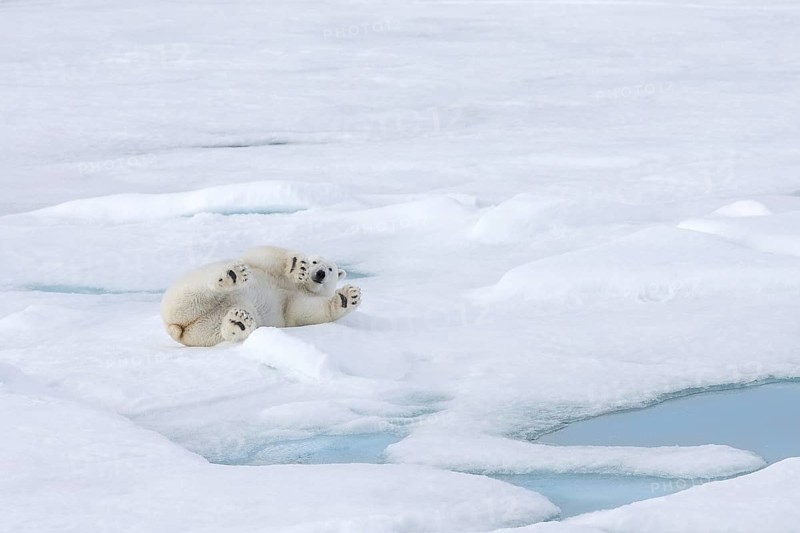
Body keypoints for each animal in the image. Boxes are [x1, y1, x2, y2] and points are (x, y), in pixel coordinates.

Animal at [161, 245, 362, 347]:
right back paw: (232, 276)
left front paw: (347, 297)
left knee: (219, 326)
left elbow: (306, 312)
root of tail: (176, 326)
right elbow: (262, 254)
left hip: (203, 331)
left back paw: (237, 322)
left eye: (330, 269)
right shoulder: (265, 269)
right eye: (314, 261)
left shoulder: (293, 302)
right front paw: (296, 265)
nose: (320, 273)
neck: (297, 286)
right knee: (198, 289)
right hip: (187, 286)